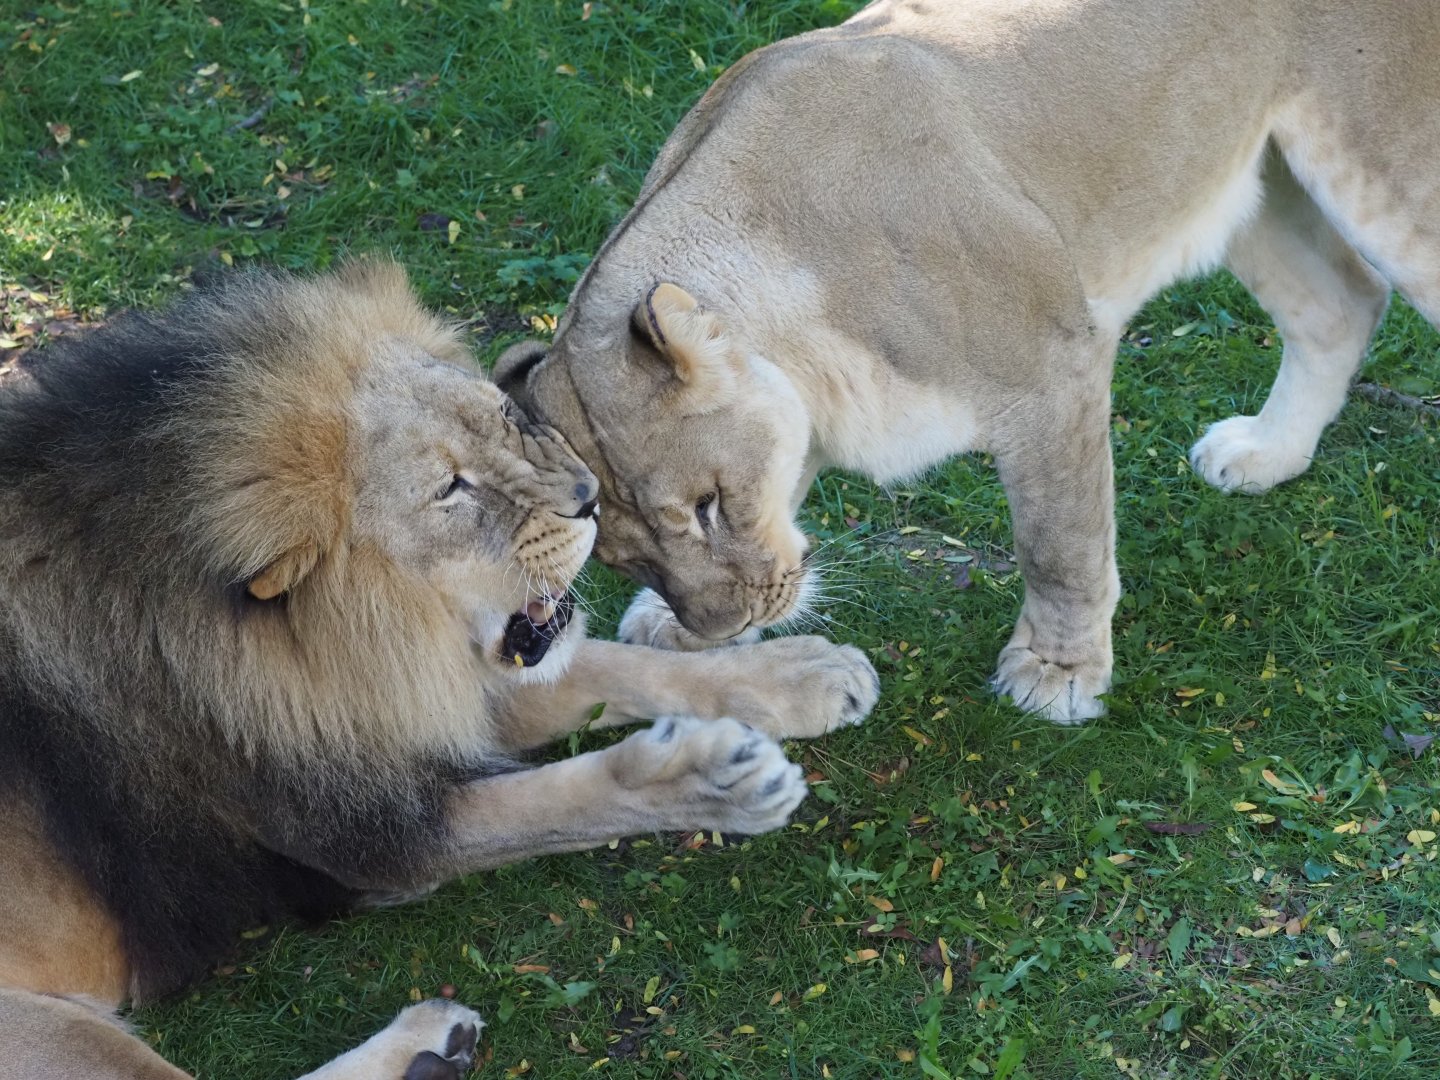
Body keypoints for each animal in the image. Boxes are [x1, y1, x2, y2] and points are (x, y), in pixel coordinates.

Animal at [0, 261, 878, 1079]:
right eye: (451, 488)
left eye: (507, 419)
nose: (590, 497)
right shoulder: (373, 834)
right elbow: (560, 800)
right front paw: (709, 780)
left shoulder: (423, 694)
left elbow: (620, 667)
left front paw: (801, 674)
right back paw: (427, 1037)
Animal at [496, 0, 1439, 725]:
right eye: (622, 555)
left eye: (709, 505)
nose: (722, 627)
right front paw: (683, 632)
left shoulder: (1054, 368)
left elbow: (1059, 545)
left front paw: (1058, 674)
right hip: (1254, 178)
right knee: (1343, 304)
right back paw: (1268, 453)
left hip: (1390, 167)